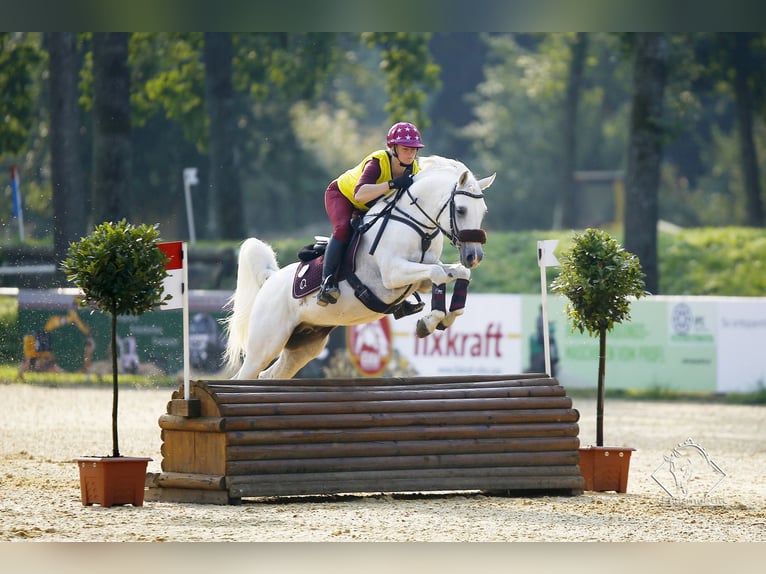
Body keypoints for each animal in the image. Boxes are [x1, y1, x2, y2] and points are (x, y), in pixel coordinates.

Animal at [225, 156, 496, 382]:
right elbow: (440, 274)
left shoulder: (423, 277)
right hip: (266, 343)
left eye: (483, 212)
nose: (474, 256)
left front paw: (444, 317)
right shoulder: (393, 273)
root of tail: (270, 281)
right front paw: (428, 323)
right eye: (461, 210)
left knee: (269, 376)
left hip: (304, 345)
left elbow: (456, 273)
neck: (416, 225)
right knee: (245, 376)